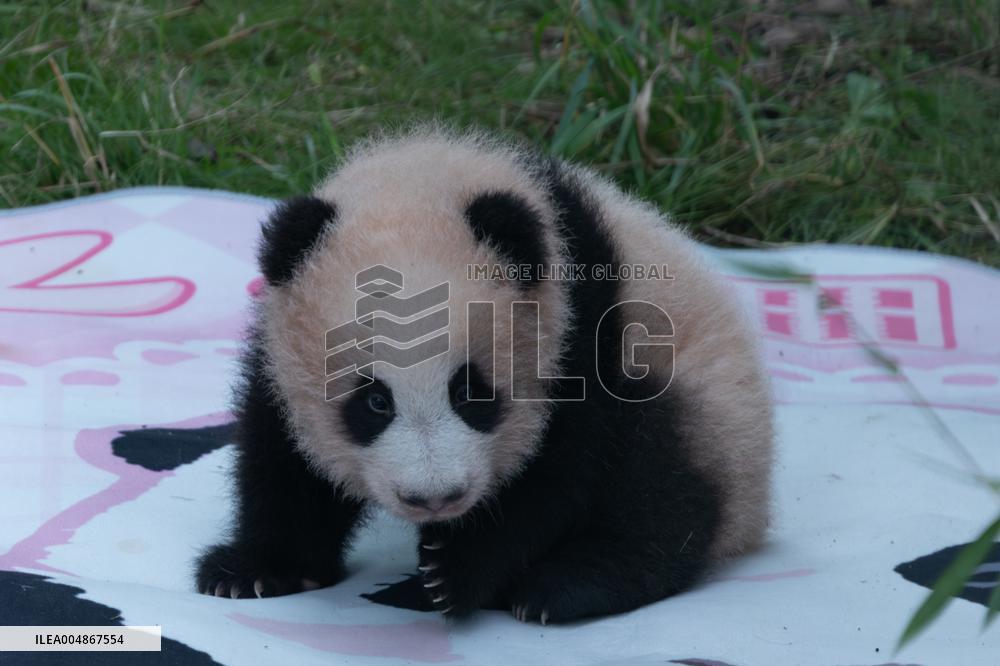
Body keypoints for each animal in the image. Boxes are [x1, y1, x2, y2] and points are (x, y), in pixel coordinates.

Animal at [195, 127, 774, 624]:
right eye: (374, 401)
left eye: (469, 392)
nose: (434, 498)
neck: (424, 179)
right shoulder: (279, 349)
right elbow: (281, 458)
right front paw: (252, 571)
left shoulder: (583, 330)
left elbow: (558, 475)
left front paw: (449, 575)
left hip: (703, 399)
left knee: (660, 486)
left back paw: (565, 586)